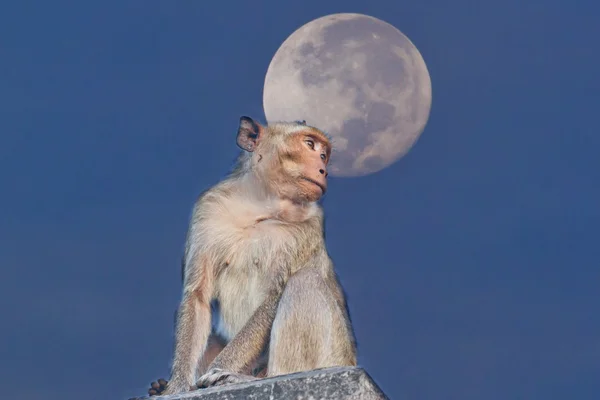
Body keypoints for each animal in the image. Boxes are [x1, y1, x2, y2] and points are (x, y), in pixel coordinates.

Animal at [136, 115, 356, 396]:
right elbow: (197, 296)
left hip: (336, 354)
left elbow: (272, 298)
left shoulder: (310, 226)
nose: (323, 170)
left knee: (305, 281)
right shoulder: (207, 208)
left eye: (324, 155)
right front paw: (176, 387)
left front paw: (217, 372)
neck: (259, 207)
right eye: (309, 144)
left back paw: (252, 377)